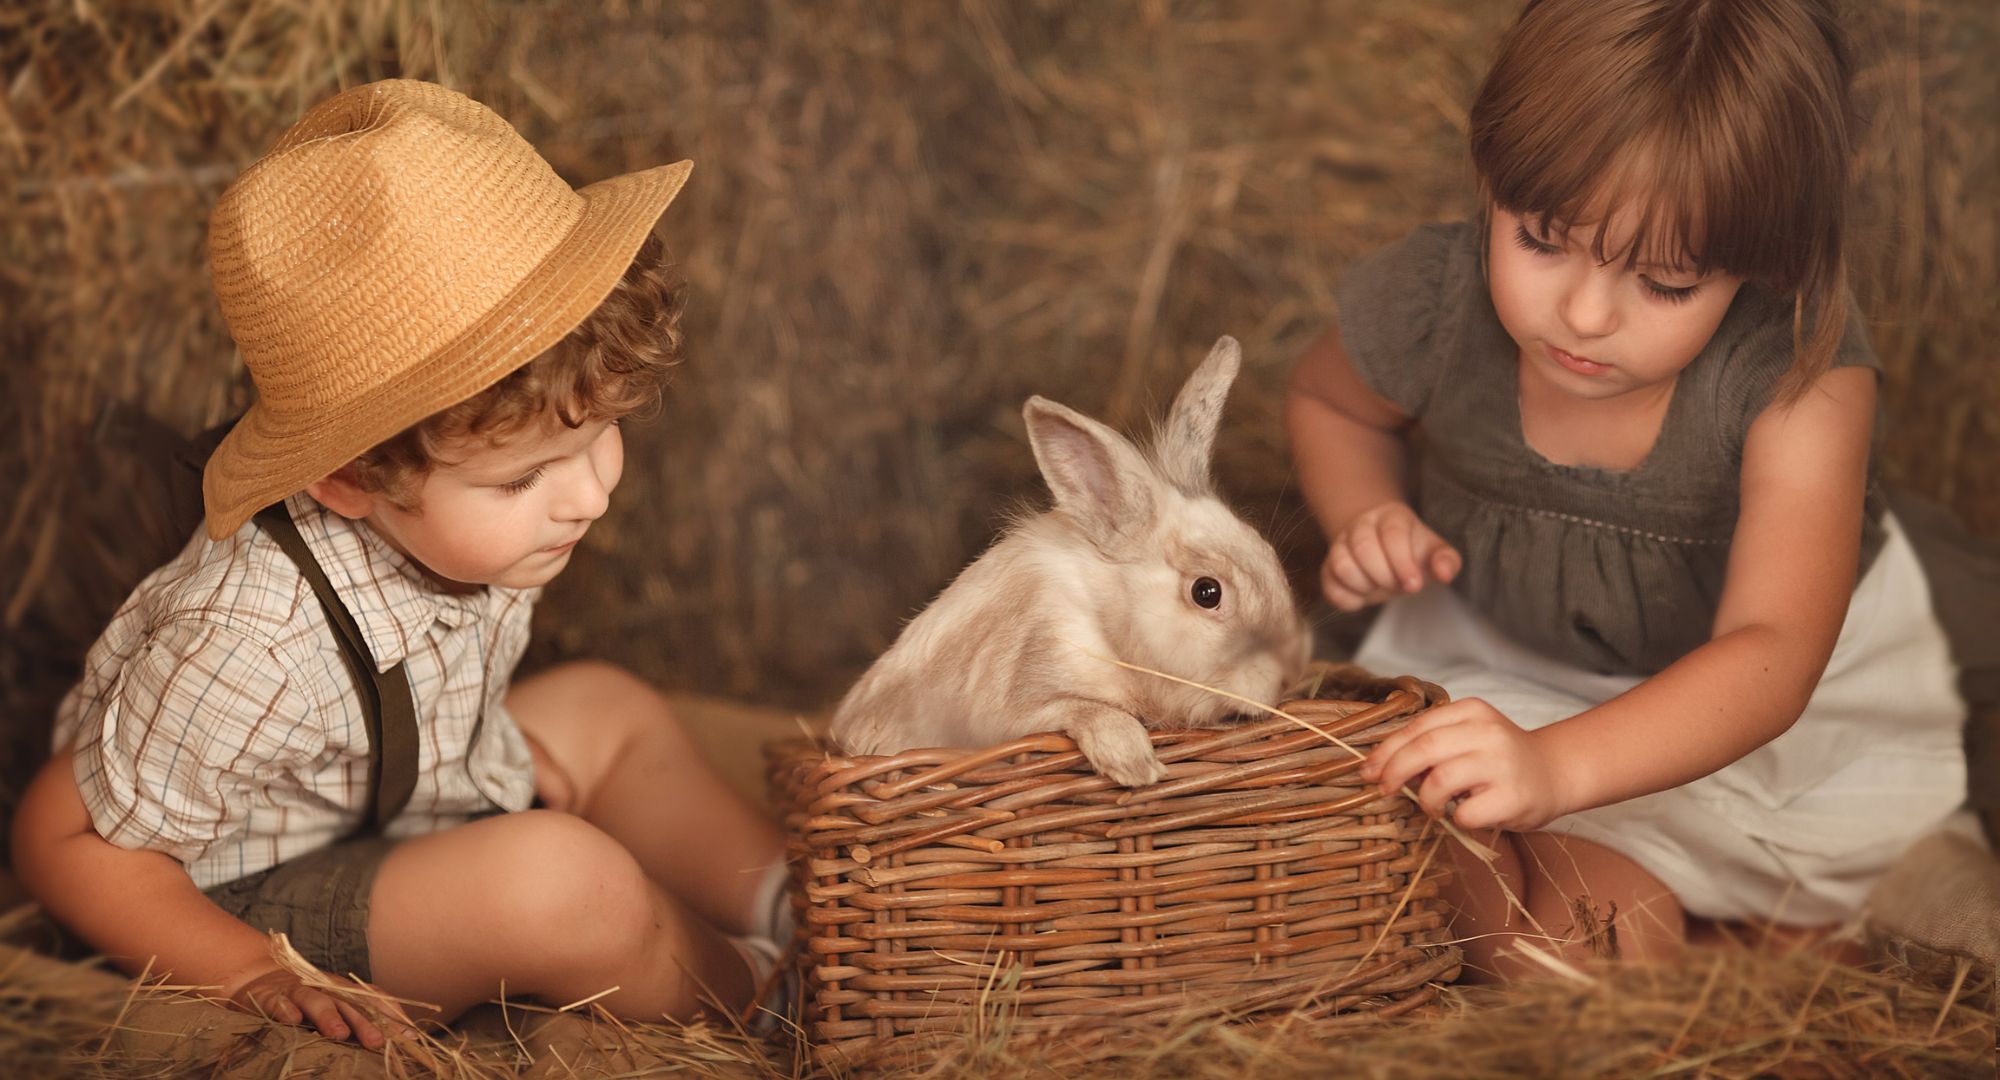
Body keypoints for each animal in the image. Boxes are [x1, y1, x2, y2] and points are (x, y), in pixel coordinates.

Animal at [828, 334, 1312, 788]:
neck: (1109, 624)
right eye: (1206, 592)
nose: (1288, 677)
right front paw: (1134, 764)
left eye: (1269, 555)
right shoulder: (1024, 693)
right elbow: (1081, 709)